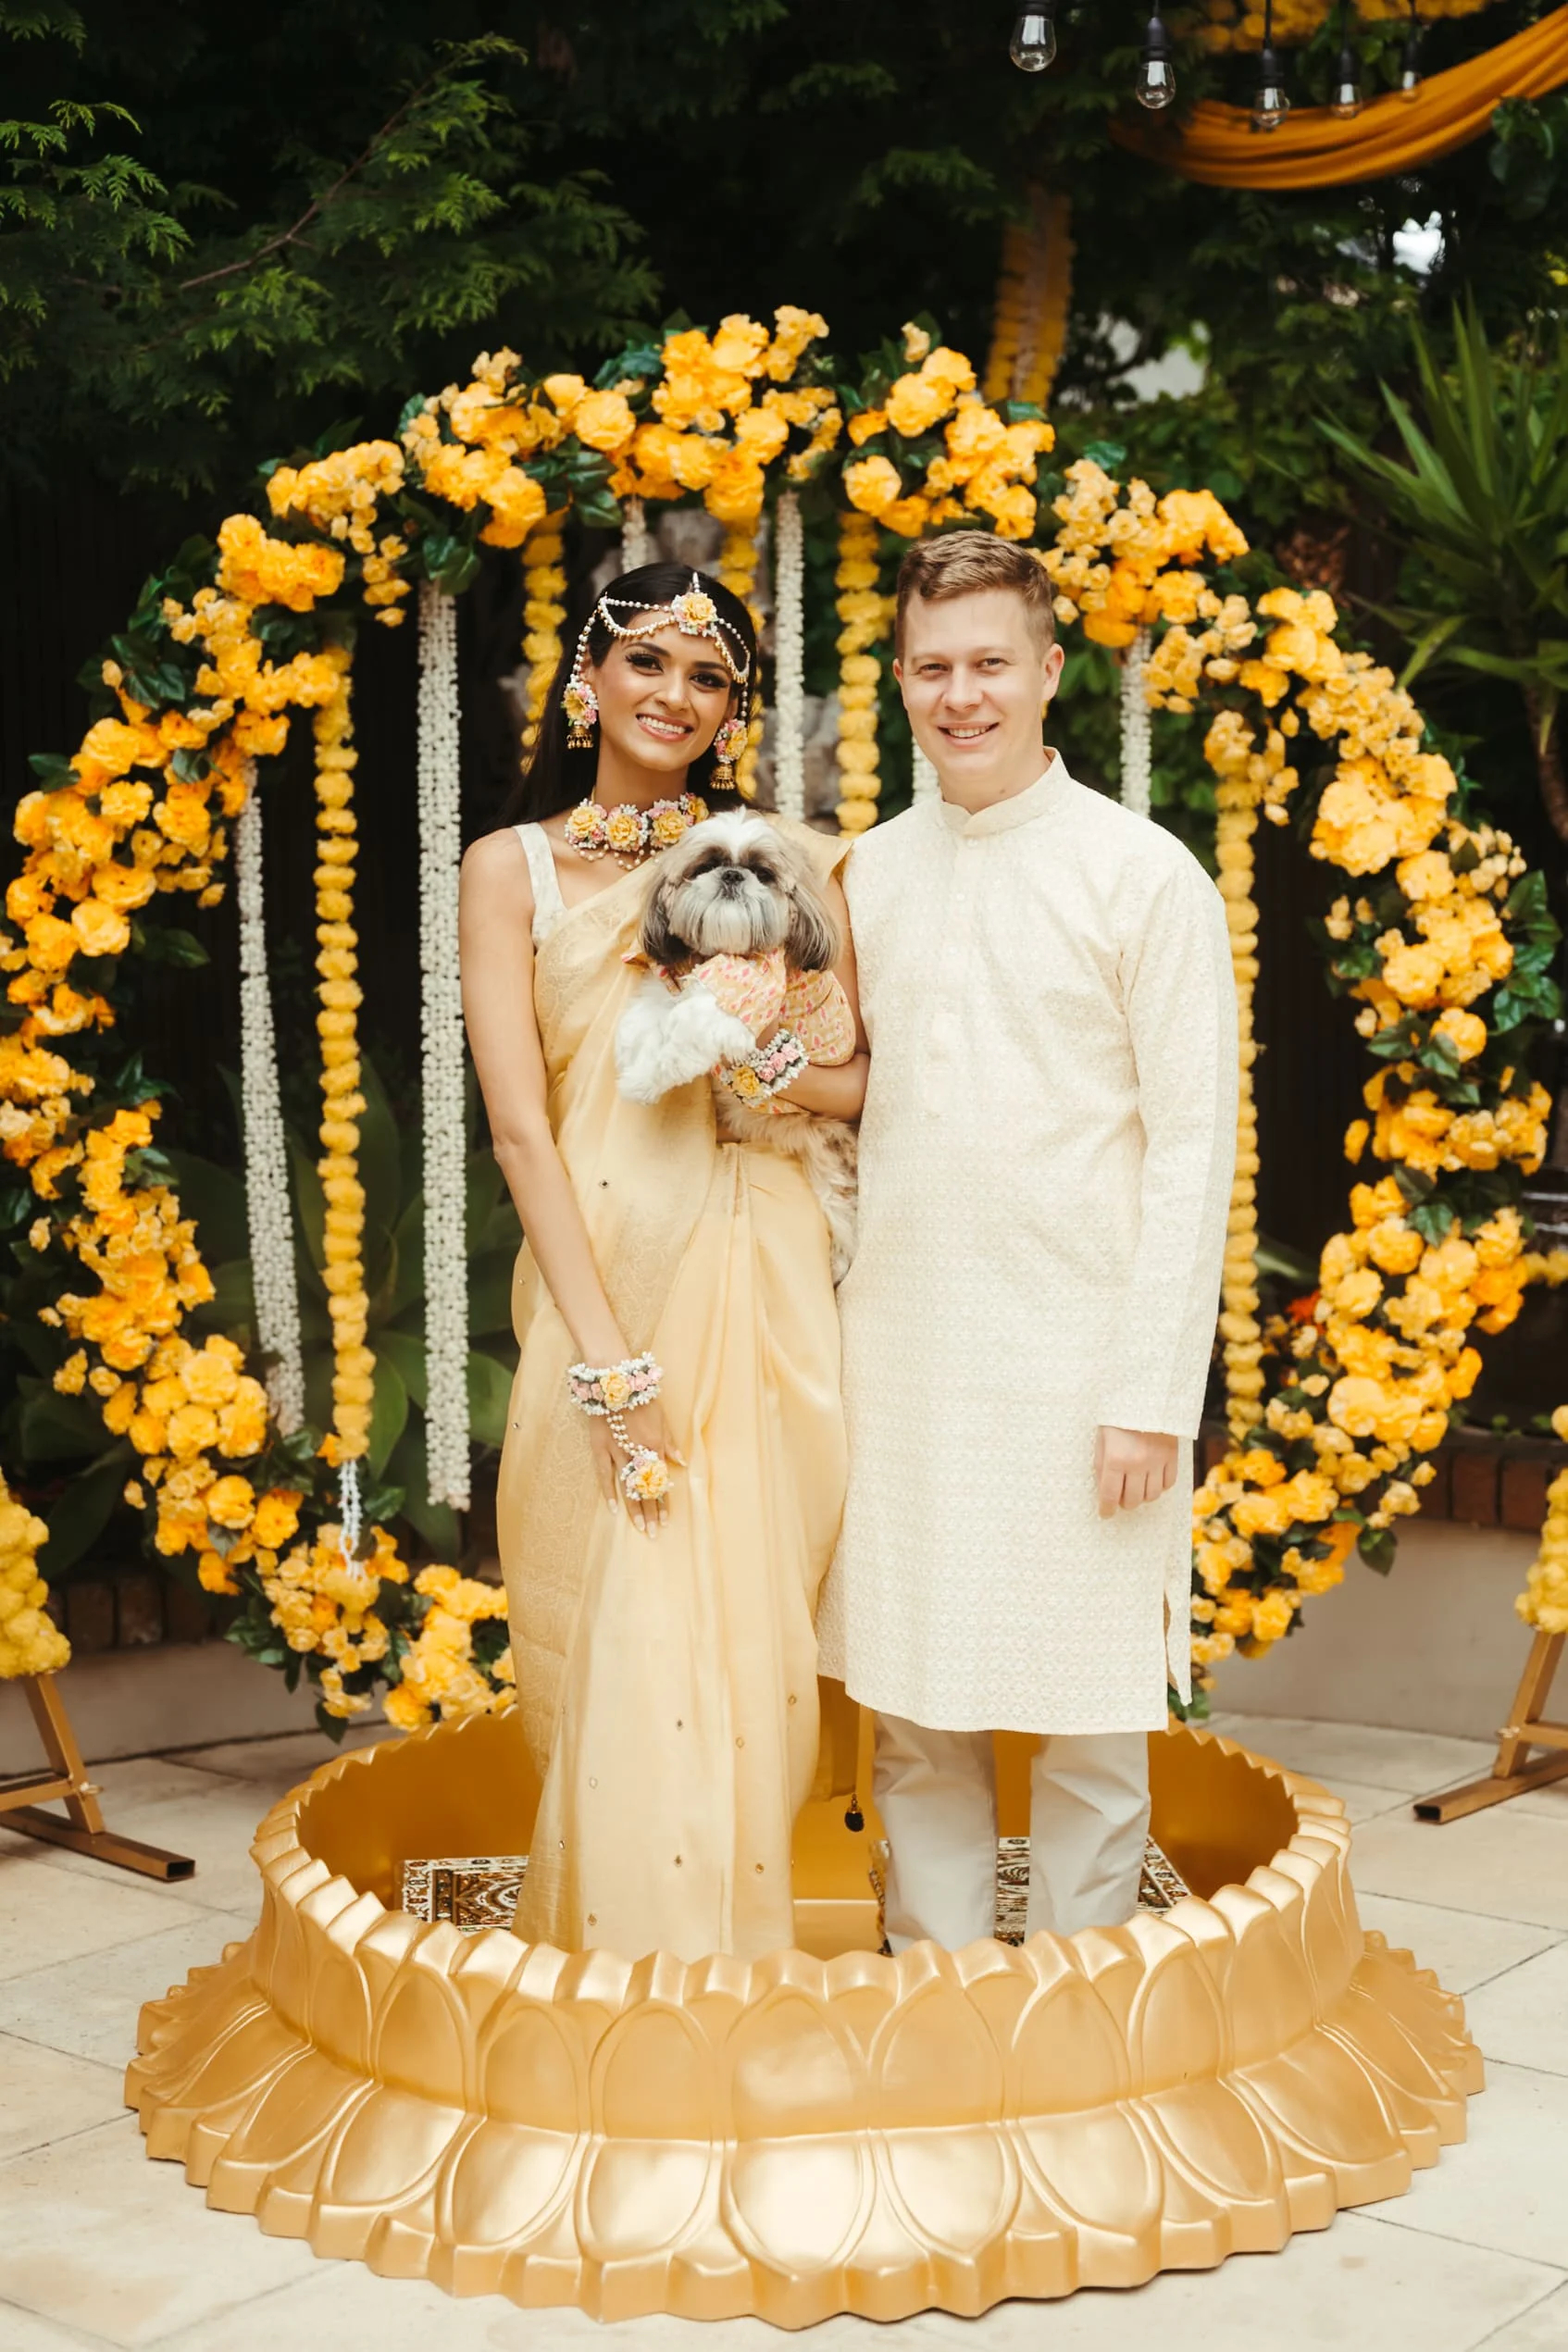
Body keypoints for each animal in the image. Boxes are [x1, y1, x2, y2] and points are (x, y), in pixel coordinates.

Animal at [611, 814, 860, 1288]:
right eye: (706, 865)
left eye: (763, 873)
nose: (732, 875)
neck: (722, 953)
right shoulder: (672, 981)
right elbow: (653, 1013)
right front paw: (632, 1061)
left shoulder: (737, 999)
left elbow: (686, 1032)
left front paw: (644, 1082)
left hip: (826, 1142)